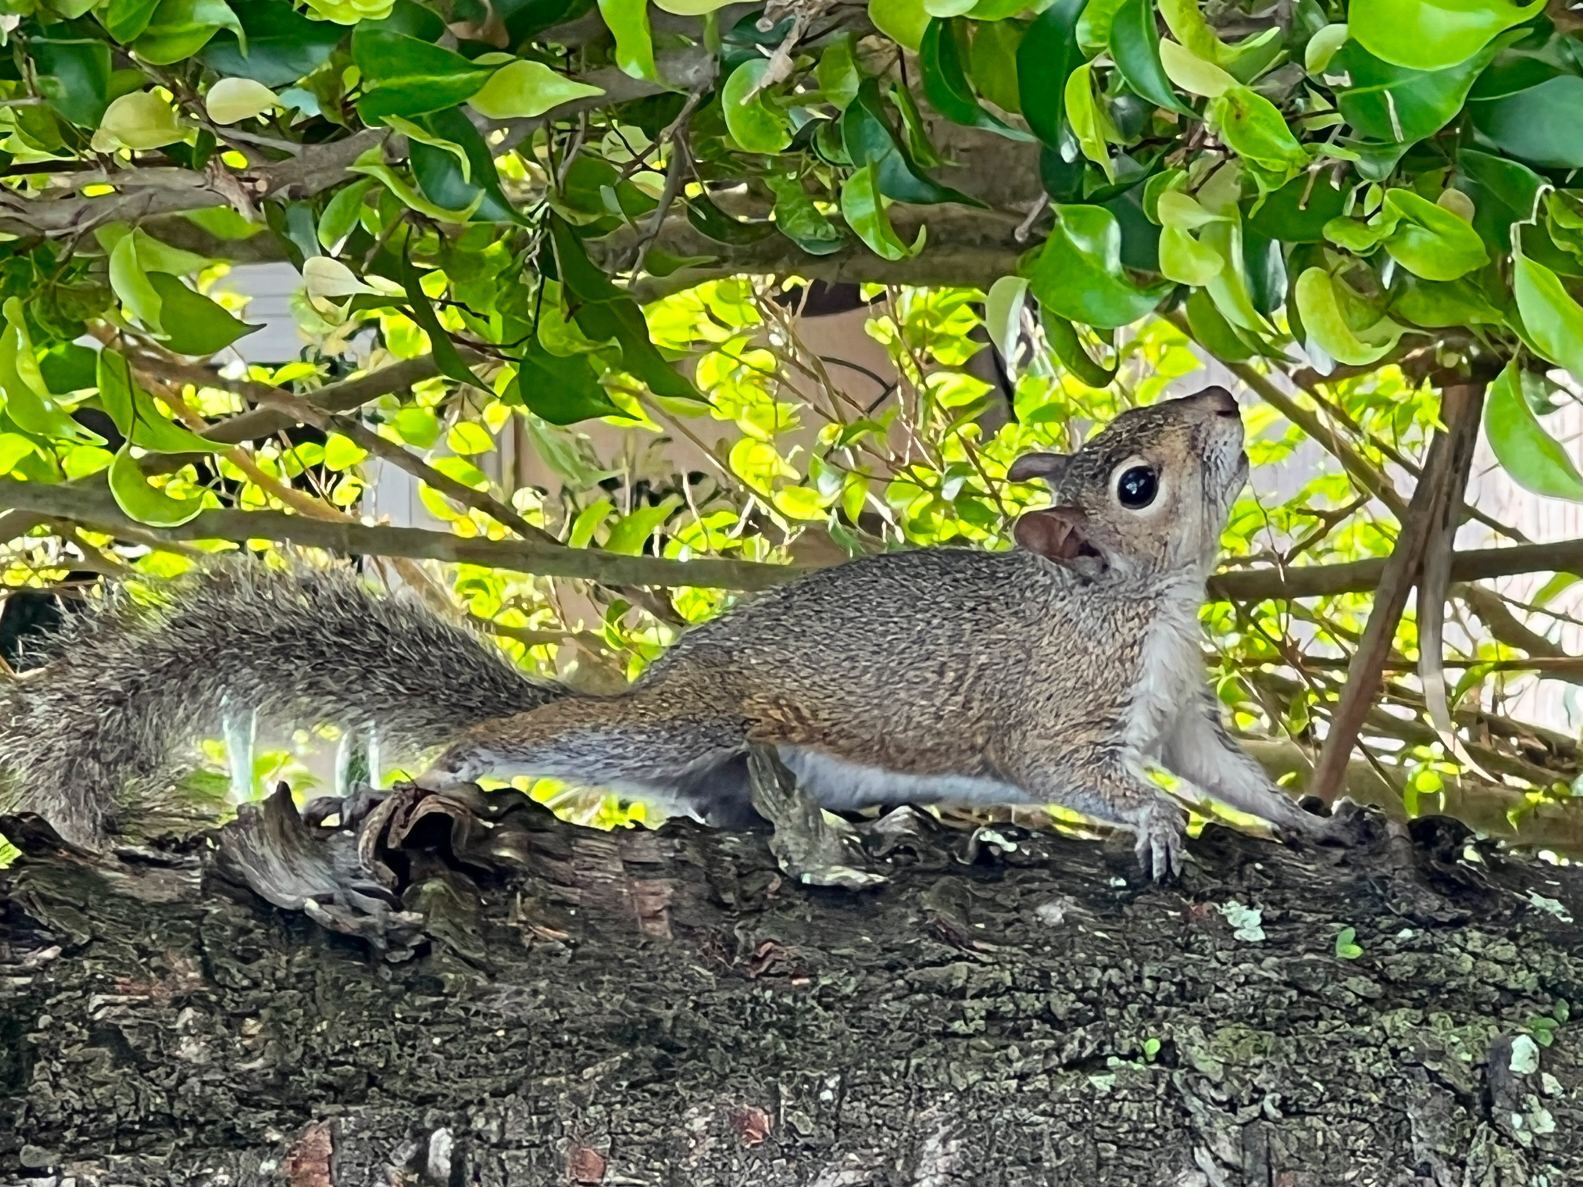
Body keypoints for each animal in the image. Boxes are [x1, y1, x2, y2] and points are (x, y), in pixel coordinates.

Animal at [0, 385, 1326, 877]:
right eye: (1138, 481)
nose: (1223, 395)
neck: (1140, 606)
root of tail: (664, 677)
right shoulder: (1057, 708)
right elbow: (1076, 773)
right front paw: (1153, 825)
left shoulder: (1182, 711)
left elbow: (1227, 772)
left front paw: (1312, 814)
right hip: (673, 726)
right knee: (546, 739)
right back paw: (442, 770)